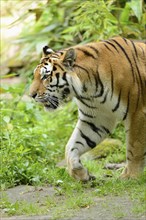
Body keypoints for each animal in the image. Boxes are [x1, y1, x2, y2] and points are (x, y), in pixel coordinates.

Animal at [29, 37, 146, 181]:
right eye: (35, 76)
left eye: (45, 76)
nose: (31, 95)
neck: (88, 89)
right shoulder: (96, 119)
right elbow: (71, 146)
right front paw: (79, 173)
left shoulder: (137, 113)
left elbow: (135, 147)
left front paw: (130, 176)